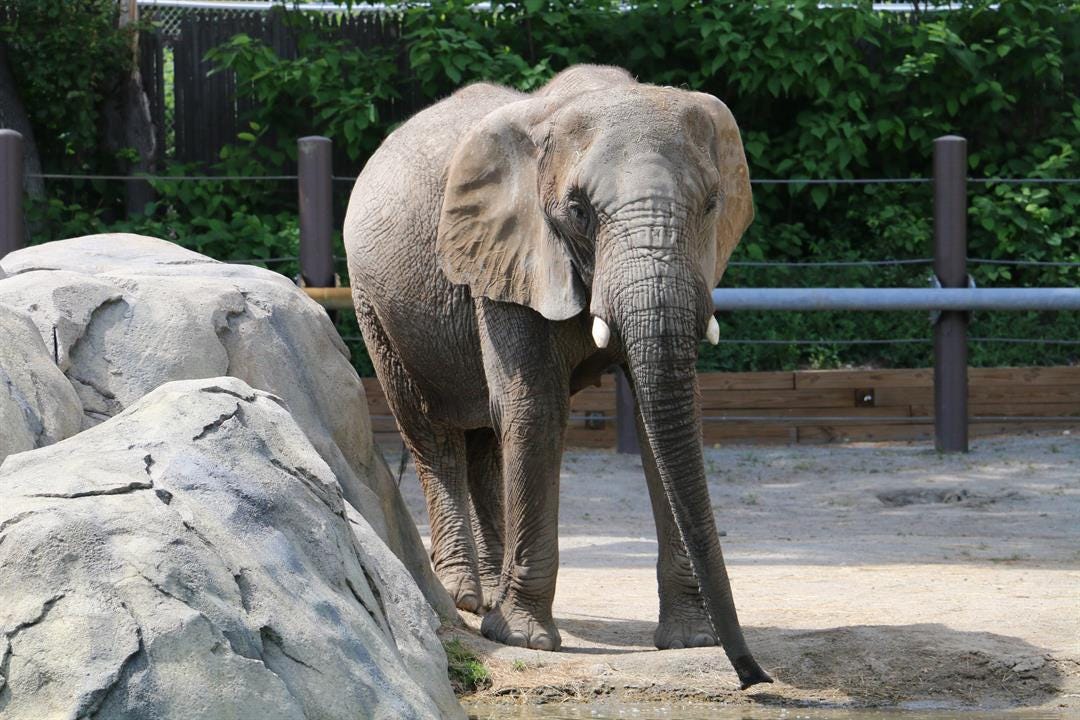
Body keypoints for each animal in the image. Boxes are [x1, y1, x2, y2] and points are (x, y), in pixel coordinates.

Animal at [341, 64, 773, 690]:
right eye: (579, 211)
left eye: (712, 203)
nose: (754, 677)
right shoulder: (509, 249)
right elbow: (535, 407)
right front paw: (522, 640)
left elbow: (660, 417)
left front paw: (691, 640)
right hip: (374, 302)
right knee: (432, 432)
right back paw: (464, 599)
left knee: (484, 435)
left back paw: (488, 594)